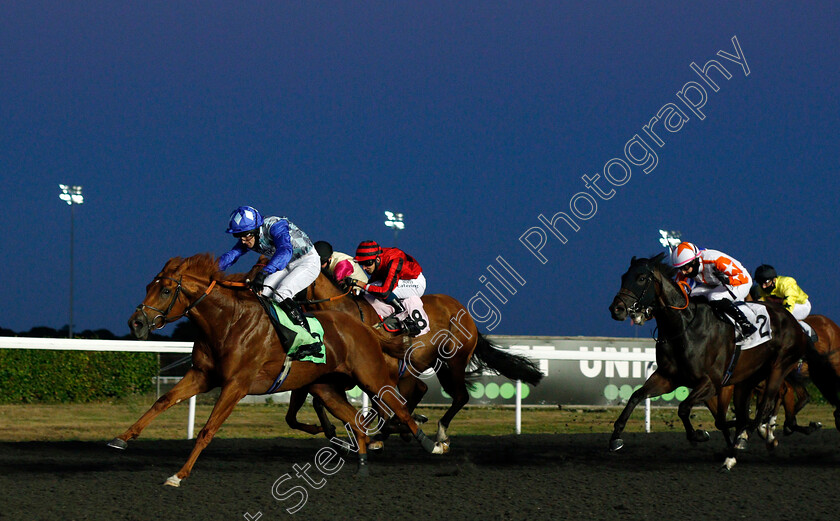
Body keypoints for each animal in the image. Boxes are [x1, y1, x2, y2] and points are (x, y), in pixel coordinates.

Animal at [110, 254, 446, 486]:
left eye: (166, 291)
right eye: (149, 286)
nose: (135, 323)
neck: (227, 321)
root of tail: (363, 325)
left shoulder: (236, 384)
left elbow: (208, 430)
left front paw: (179, 475)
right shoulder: (202, 375)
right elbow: (163, 401)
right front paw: (122, 438)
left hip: (370, 376)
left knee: (398, 406)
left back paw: (431, 444)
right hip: (325, 386)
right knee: (356, 420)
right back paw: (362, 463)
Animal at [286, 268, 540, 446]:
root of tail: (466, 314)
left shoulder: (377, 375)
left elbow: (380, 408)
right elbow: (319, 400)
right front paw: (333, 431)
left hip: (453, 361)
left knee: (460, 396)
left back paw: (438, 431)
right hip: (431, 365)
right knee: (423, 390)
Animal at [608, 254, 812, 470]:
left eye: (640, 278)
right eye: (623, 277)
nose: (616, 309)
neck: (684, 327)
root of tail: (795, 323)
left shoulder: (711, 383)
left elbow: (684, 408)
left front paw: (699, 434)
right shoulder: (667, 378)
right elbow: (636, 396)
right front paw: (615, 438)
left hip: (779, 368)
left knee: (763, 408)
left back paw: (741, 445)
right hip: (747, 381)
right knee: (745, 415)